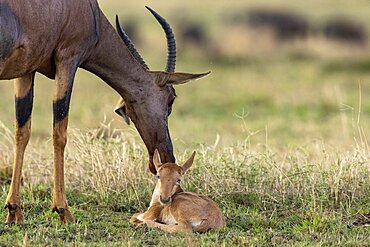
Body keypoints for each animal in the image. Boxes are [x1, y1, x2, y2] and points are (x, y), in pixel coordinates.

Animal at [0, 0, 208, 224]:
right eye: (170, 99)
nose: (167, 157)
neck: (90, 12)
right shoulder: (67, 60)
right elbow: (59, 133)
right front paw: (63, 211)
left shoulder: (26, 70)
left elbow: (22, 131)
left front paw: (14, 211)